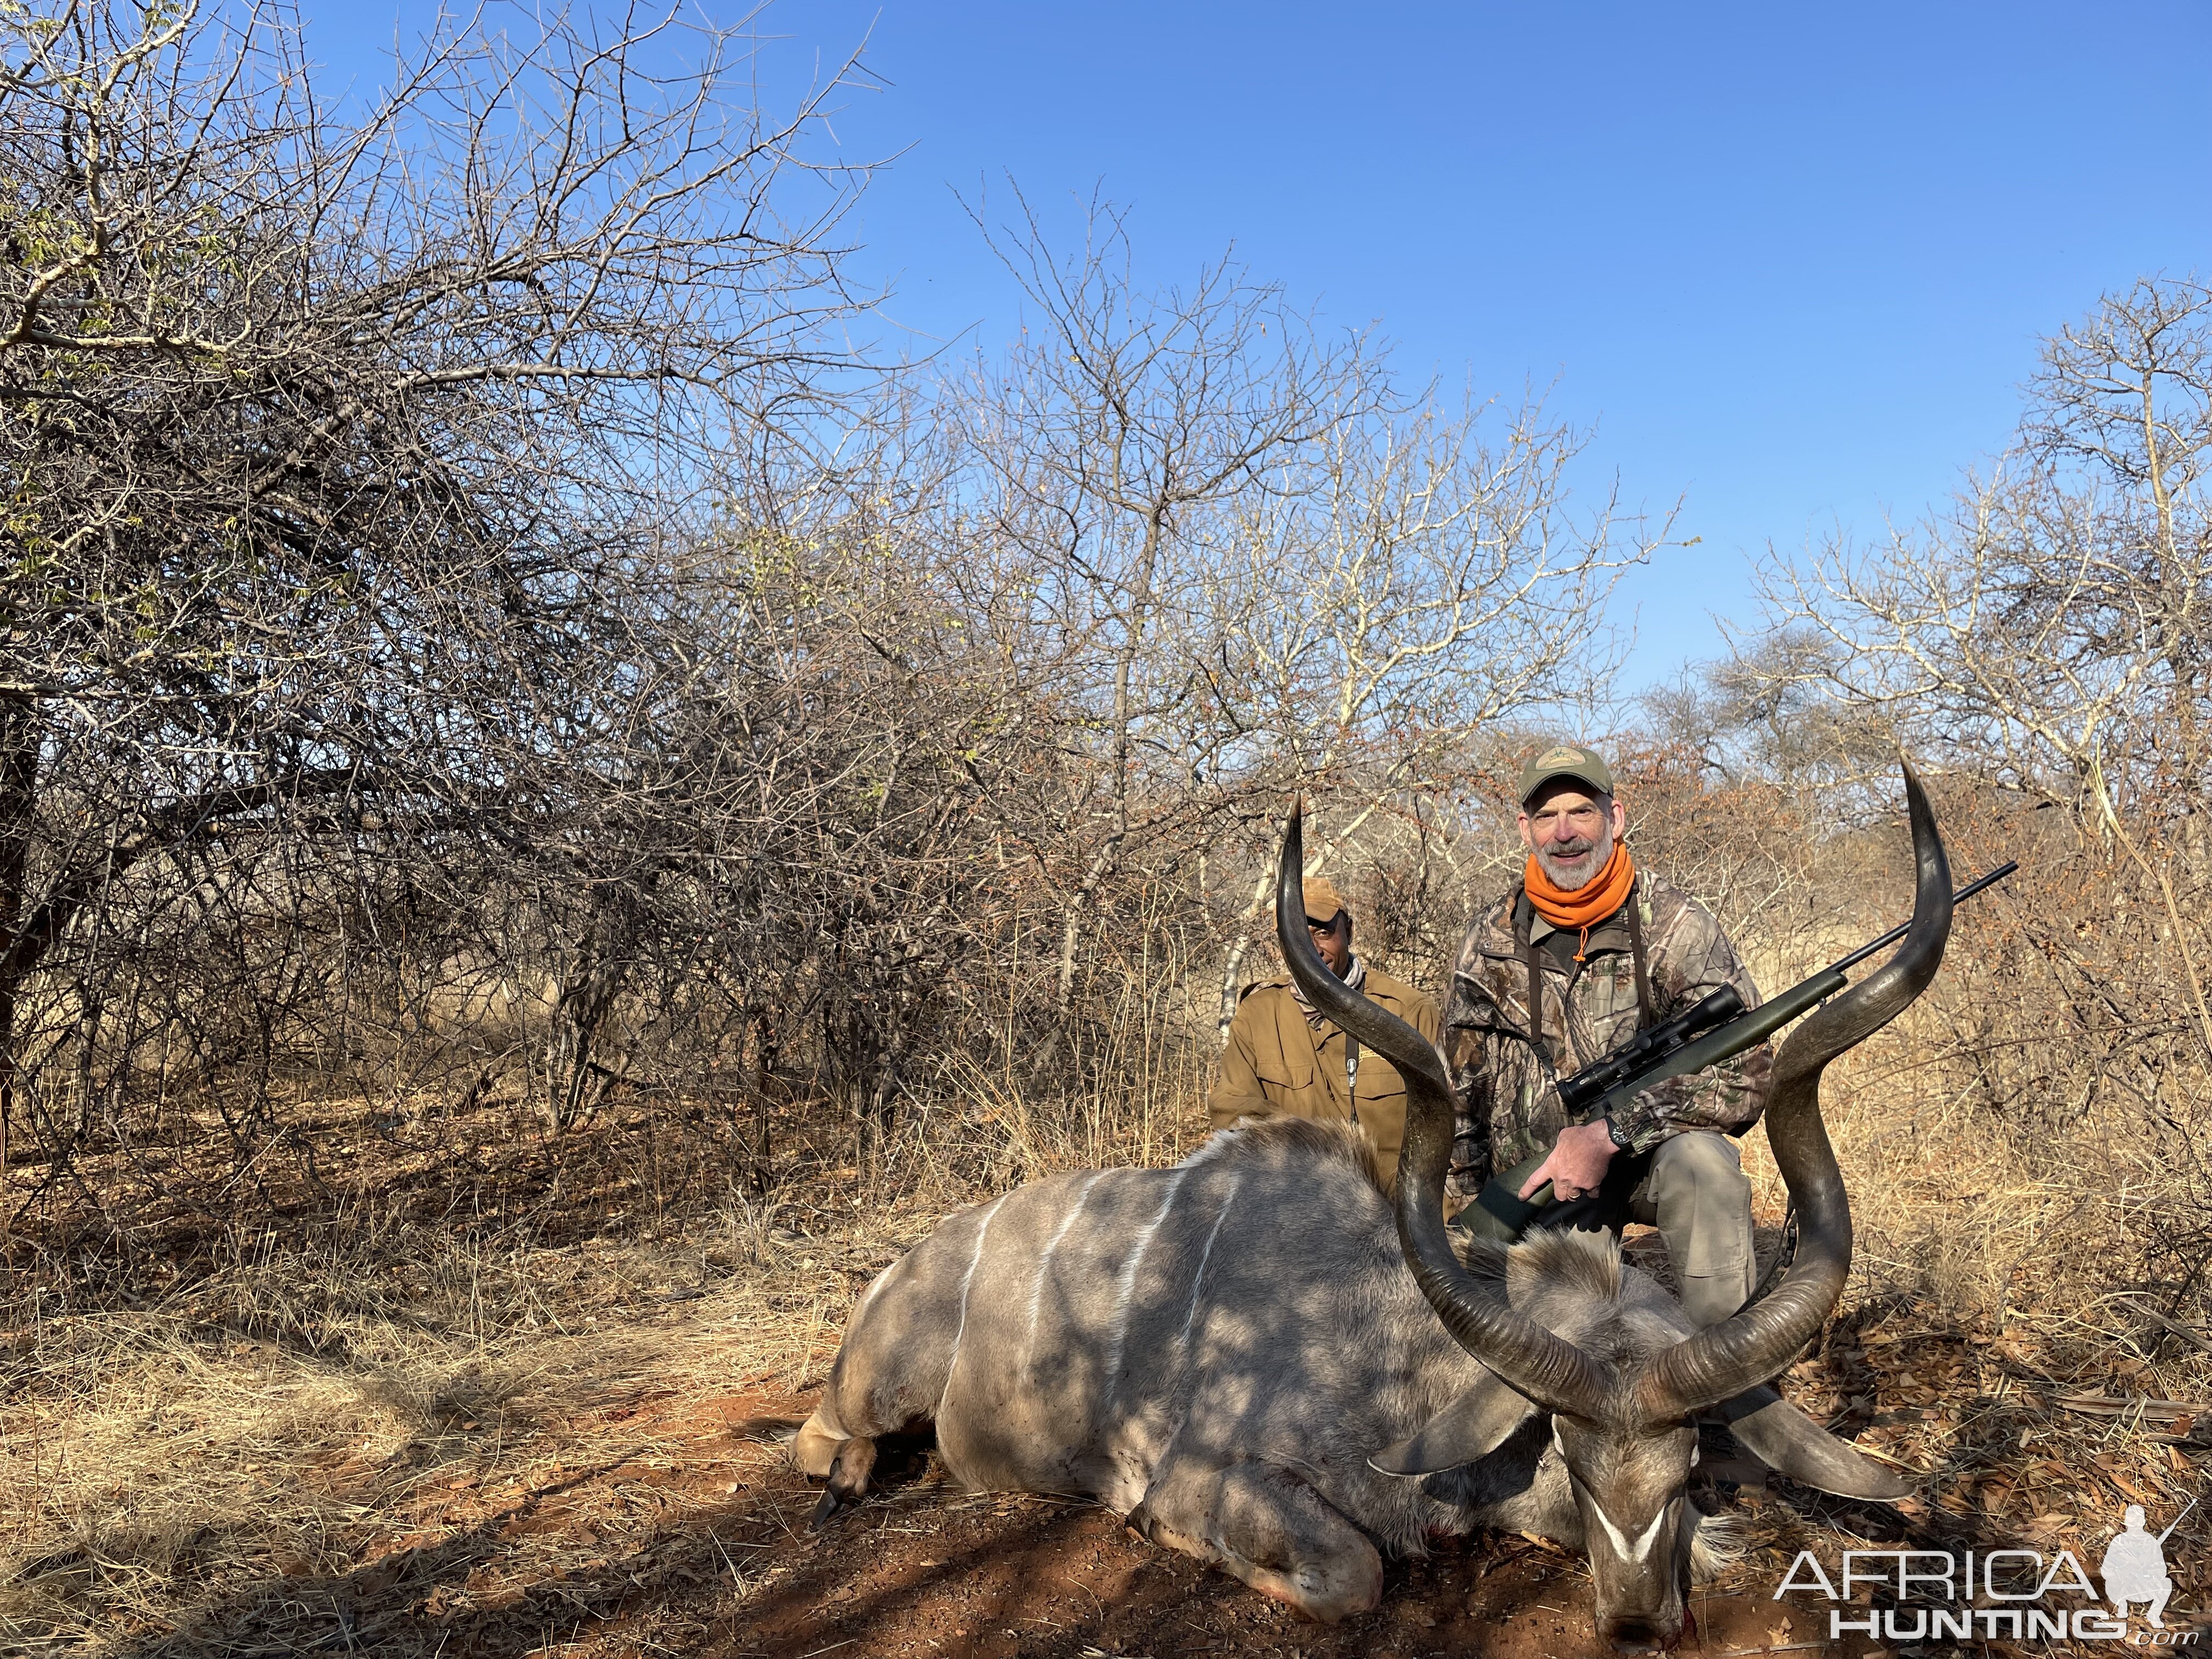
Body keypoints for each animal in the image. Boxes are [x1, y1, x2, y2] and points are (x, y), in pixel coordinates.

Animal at [800, 770, 1955, 1654]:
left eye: (1683, 1468)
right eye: (1571, 1454)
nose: (1632, 1620)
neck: (1381, 1350)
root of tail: (910, 1259)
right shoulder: (1210, 1475)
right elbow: (1353, 1568)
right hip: (880, 1386)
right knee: (827, 1430)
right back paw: (845, 1474)